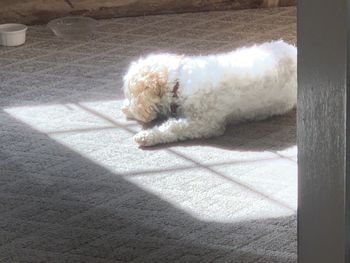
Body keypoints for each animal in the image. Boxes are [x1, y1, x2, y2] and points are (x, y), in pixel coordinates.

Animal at [121, 39, 296, 146]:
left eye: (129, 95)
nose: (122, 108)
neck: (178, 84)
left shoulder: (205, 123)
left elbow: (173, 128)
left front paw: (147, 136)